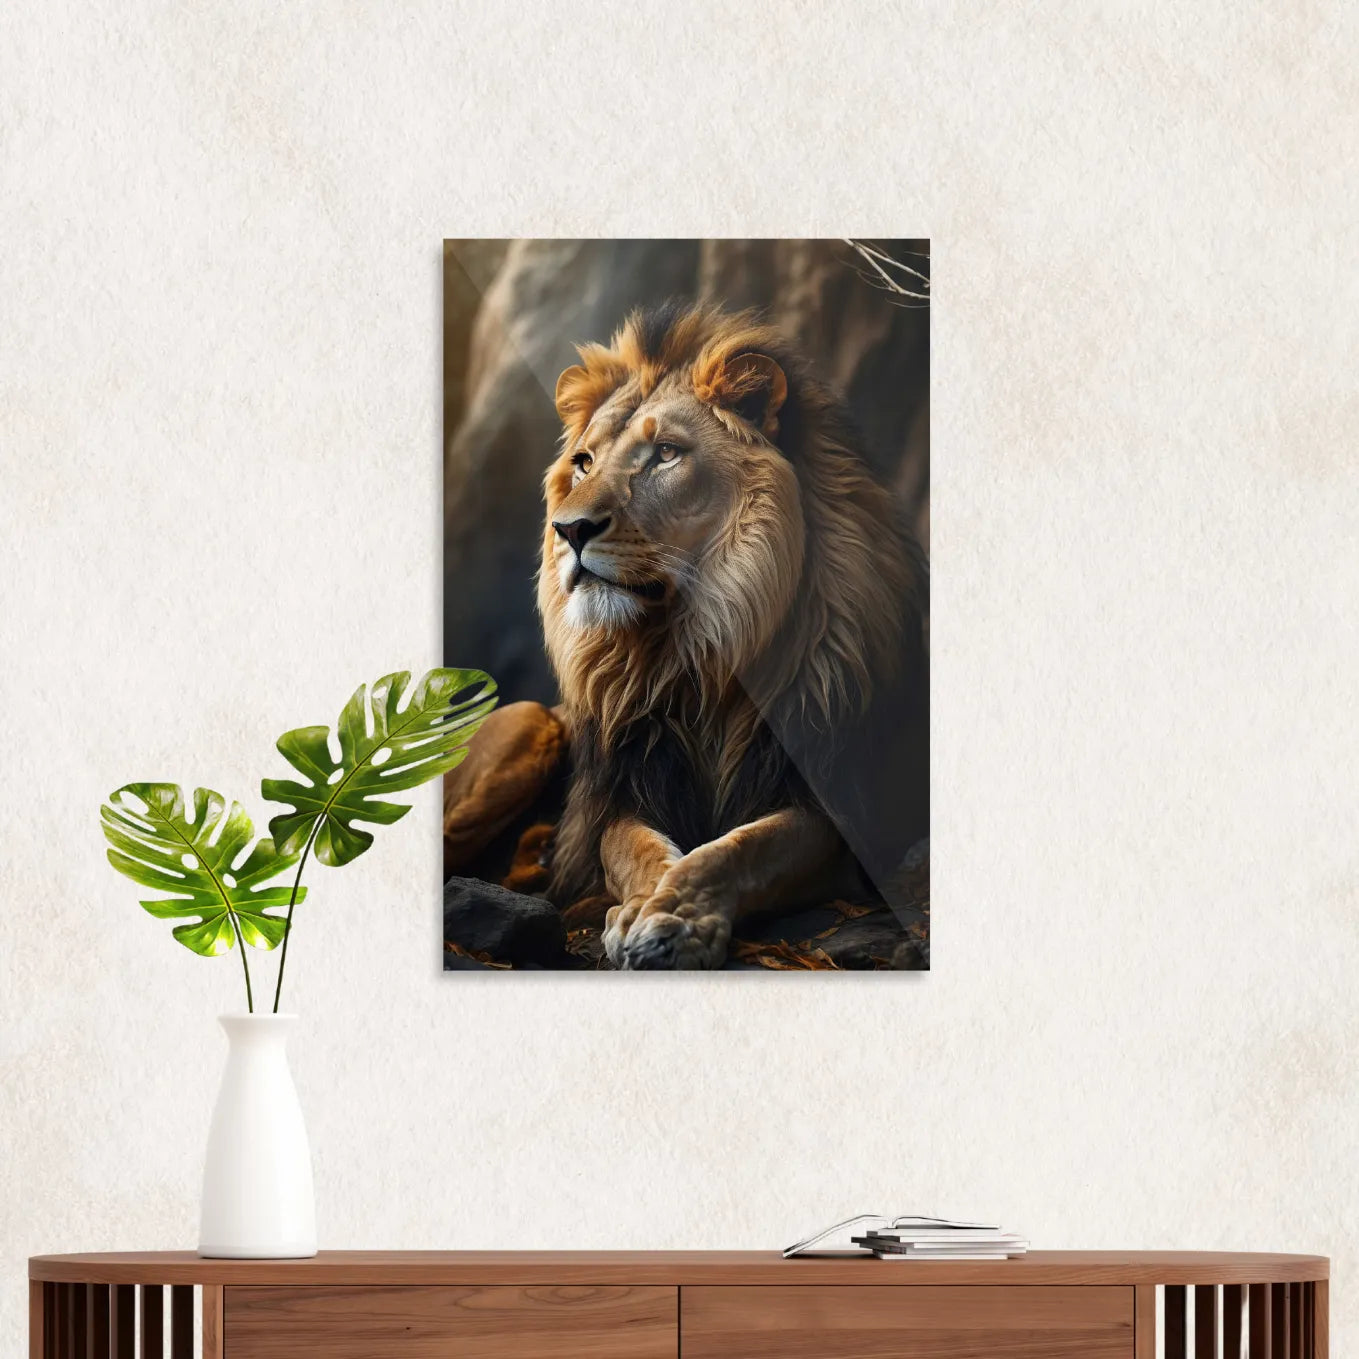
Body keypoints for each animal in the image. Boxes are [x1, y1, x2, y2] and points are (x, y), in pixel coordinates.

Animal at [447, 300, 928, 969]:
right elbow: (635, 850)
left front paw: (673, 917)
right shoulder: (627, 793)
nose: (568, 529)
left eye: (666, 453)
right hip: (530, 721)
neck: (694, 652)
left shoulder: (831, 806)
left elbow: (741, 847)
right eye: (584, 462)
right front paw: (646, 909)